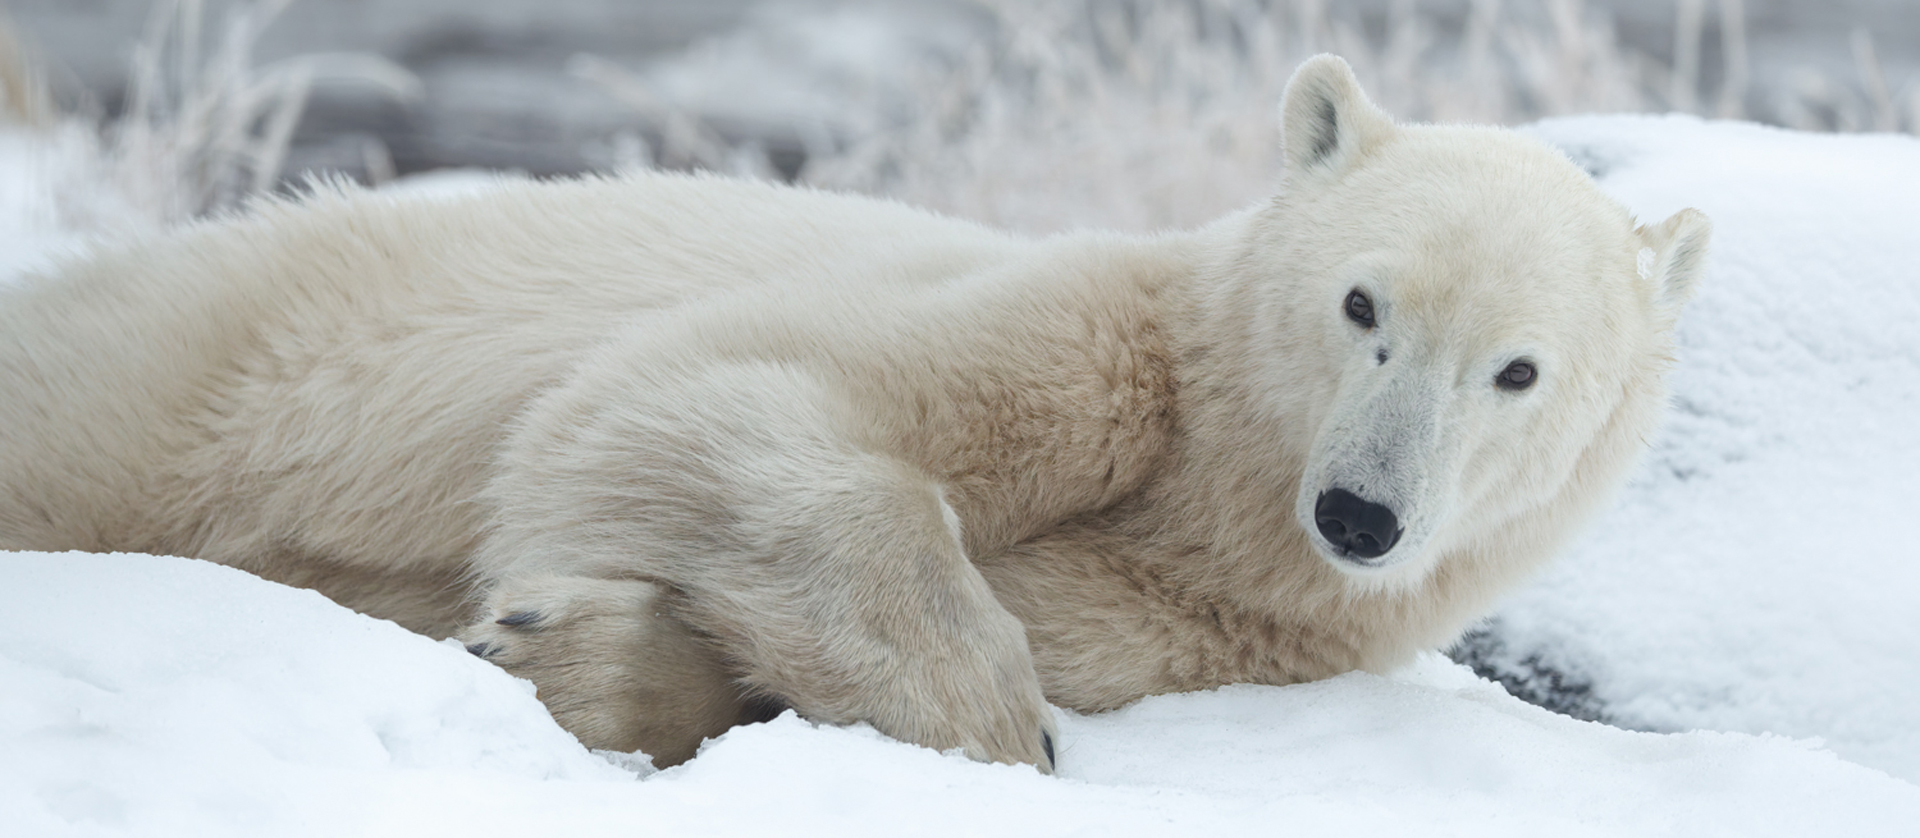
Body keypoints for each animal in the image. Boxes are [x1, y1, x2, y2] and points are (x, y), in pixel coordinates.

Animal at [0, 56, 1709, 772]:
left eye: (1518, 369)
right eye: (1362, 306)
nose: (1361, 511)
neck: (1230, 487)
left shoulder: (1237, 624)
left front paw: (578, 654)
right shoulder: (1103, 343)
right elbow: (697, 394)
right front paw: (998, 719)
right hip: (219, 354)